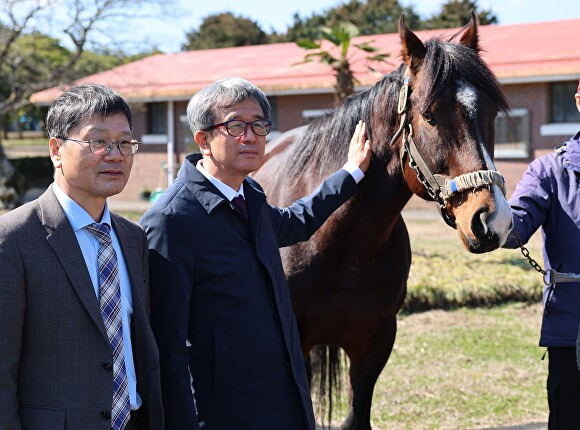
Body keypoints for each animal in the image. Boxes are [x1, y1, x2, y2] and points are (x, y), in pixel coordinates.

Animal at [254, 13, 512, 430]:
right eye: (430, 116)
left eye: (490, 114)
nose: (493, 219)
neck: (342, 244)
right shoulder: (299, 346)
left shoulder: (376, 345)